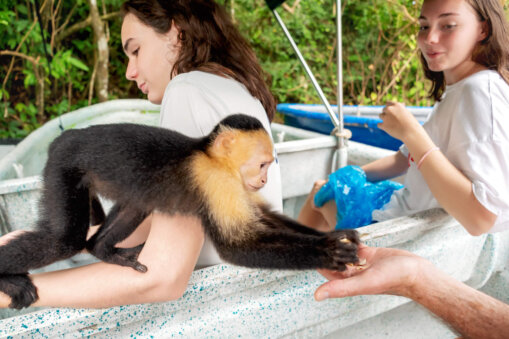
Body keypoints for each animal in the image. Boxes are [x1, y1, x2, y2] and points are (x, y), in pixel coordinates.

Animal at [0, 115, 358, 310]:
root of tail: (65, 137)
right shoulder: (216, 181)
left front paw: (334, 236)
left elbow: (263, 216)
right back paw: (10, 280)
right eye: (262, 164)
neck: (211, 157)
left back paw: (102, 249)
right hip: (64, 166)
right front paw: (326, 253)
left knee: (135, 207)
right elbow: (235, 246)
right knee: (64, 241)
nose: (263, 180)